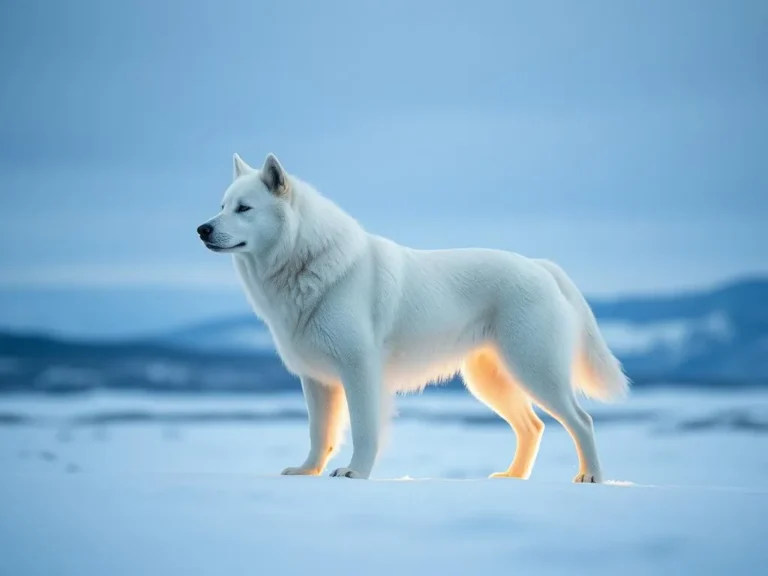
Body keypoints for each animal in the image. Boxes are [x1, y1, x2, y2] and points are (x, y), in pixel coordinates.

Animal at [200, 152, 632, 482]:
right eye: (222, 206)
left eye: (244, 208)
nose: (202, 229)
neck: (304, 261)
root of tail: (542, 267)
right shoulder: (316, 379)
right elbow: (318, 432)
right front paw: (307, 471)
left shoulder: (359, 370)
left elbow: (363, 430)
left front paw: (355, 473)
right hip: (491, 380)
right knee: (533, 426)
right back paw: (512, 477)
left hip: (536, 369)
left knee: (581, 420)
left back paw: (591, 476)